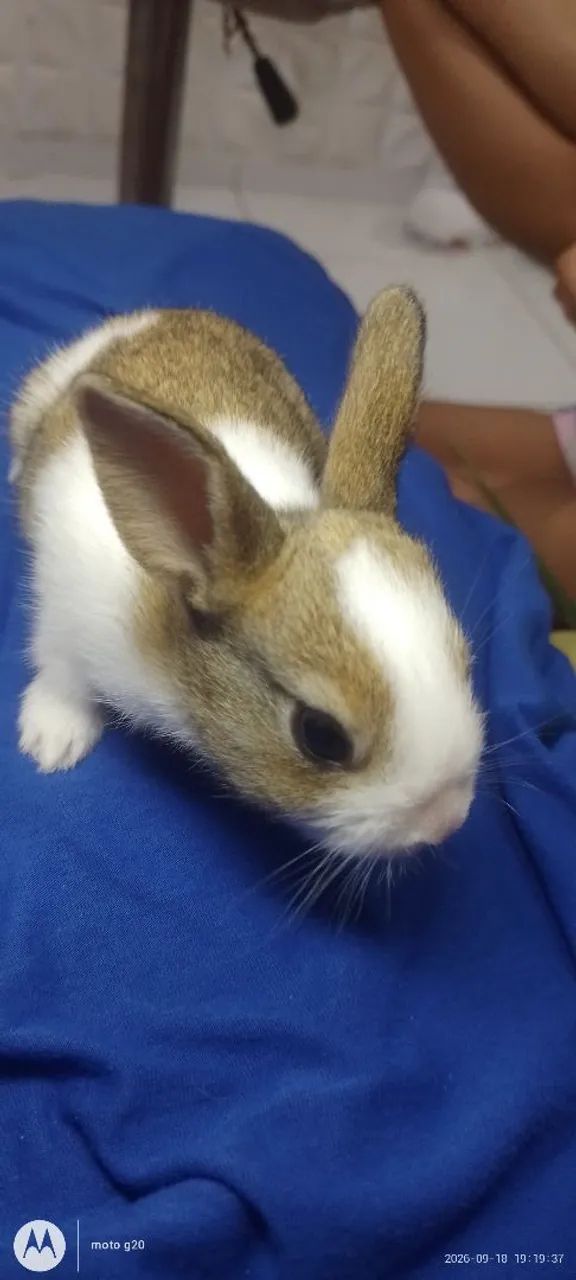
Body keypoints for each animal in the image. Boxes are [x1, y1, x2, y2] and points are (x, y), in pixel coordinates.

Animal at [10, 290, 483, 858]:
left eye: (465, 661)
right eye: (321, 735)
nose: (445, 819)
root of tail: (167, 316)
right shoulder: (62, 607)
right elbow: (60, 670)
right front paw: (52, 741)